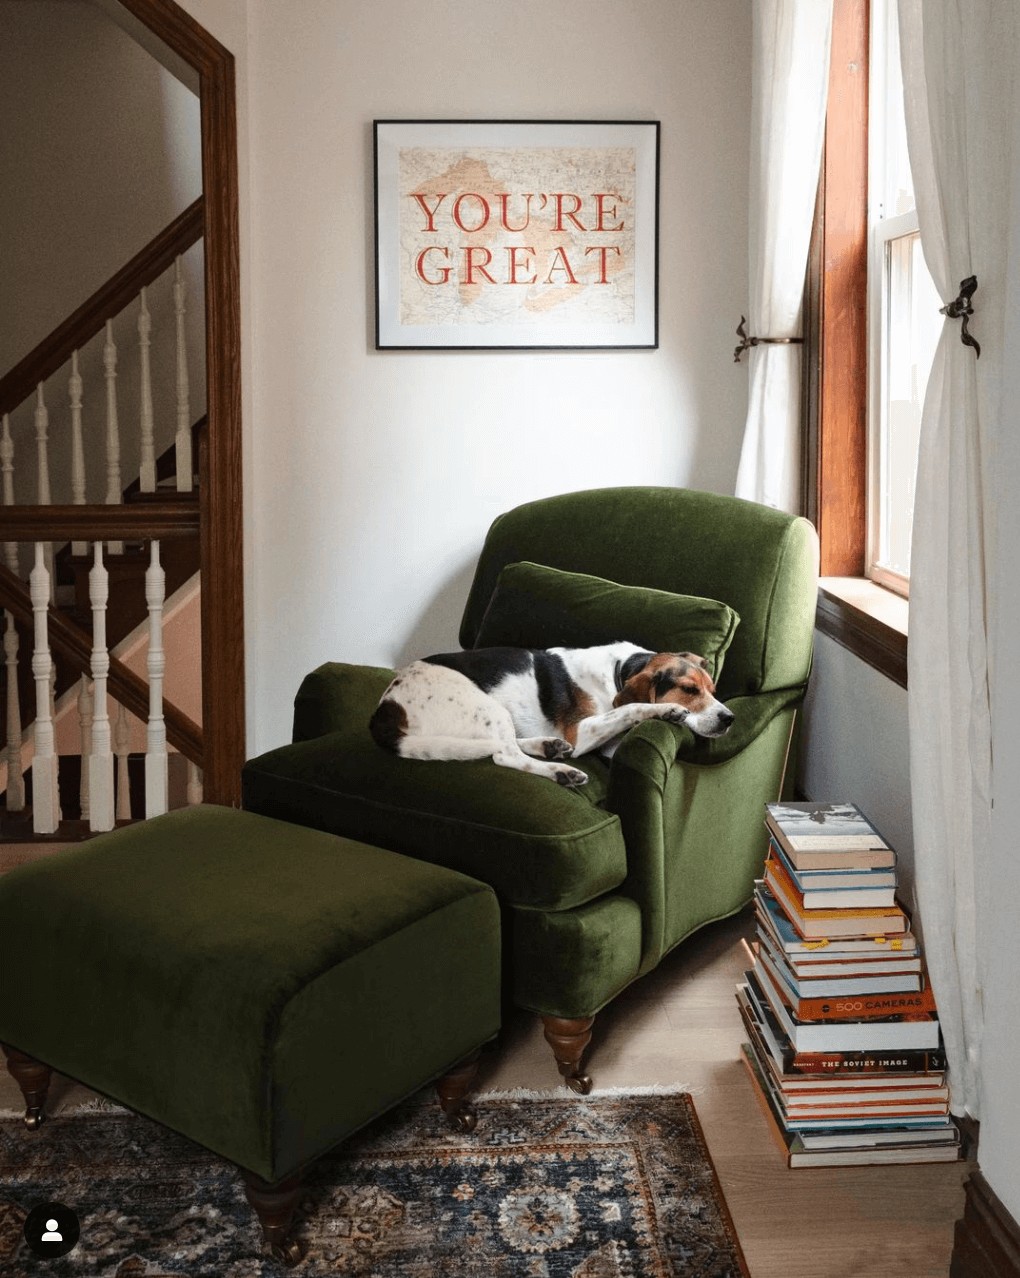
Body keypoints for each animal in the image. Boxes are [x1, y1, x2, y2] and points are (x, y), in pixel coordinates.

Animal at [370, 644, 741, 782]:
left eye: (713, 690)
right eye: (689, 690)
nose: (729, 718)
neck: (620, 669)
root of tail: (386, 705)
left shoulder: (605, 744)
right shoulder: (583, 732)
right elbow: (634, 706)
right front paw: (667, 710)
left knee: (509, 745)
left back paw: (548, 746)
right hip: (487, 706)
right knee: (504, 755)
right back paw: (562, 771)